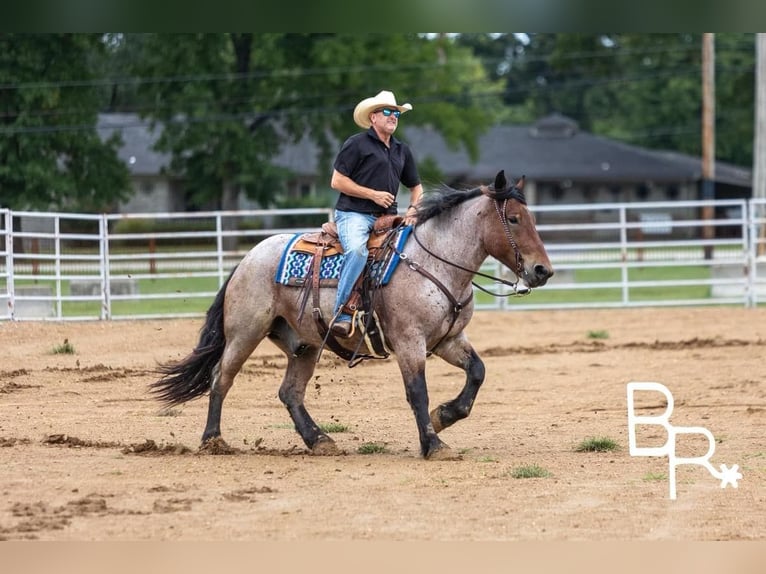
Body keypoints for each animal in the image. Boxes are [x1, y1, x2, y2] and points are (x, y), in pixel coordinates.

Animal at [151, 170, 553, 460]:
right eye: (514, 219)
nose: (542, 271)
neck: (434, 261)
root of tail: (247, 259)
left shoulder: (448, 340)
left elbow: (477, 372)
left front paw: (445, 417)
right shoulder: (409, 341)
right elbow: (417, 392)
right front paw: (434, 445)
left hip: (304, 344)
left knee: (290, 392)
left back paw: (319, 440)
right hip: (245, 332)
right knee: (221, 377)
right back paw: (213, 440)